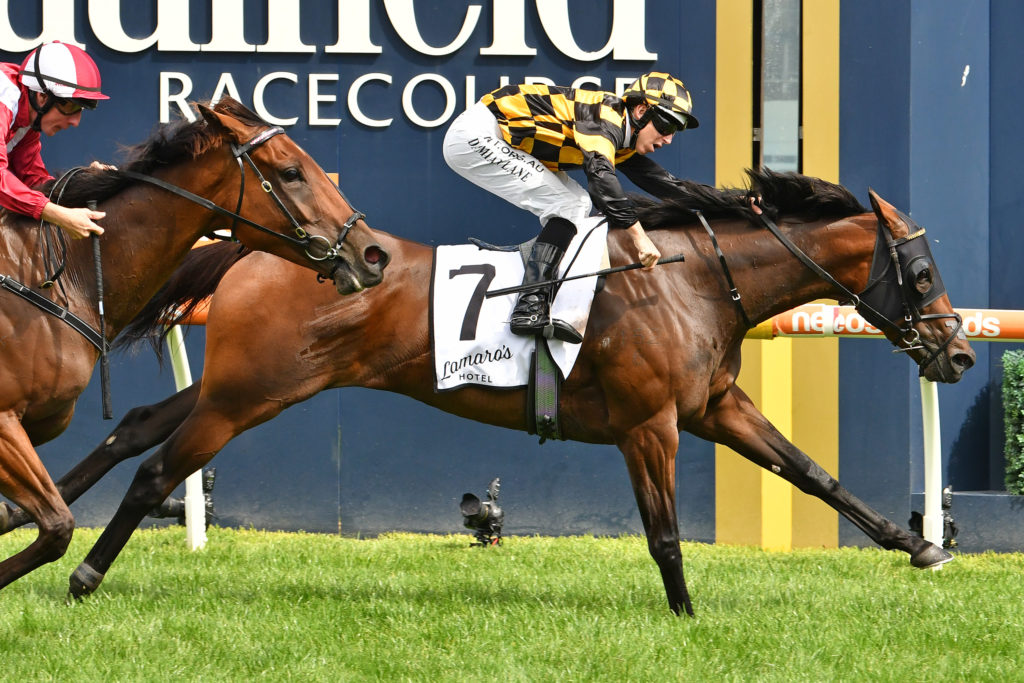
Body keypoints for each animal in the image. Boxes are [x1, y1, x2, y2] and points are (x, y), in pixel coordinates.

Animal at [1, 170, 975, 616]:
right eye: (923, 274)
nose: (960, 352)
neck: (690, 280)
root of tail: (260, 248)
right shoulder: (650, 424)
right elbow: (663, 531)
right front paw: (687, 613)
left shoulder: (713, 406)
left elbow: (812, 471)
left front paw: (917, 545)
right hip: (248, 395)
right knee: (158, 471)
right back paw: (78, 568)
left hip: (241, 383)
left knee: (135, 427)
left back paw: (27, 518)